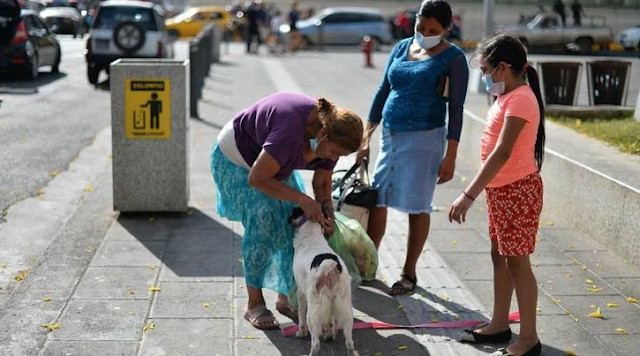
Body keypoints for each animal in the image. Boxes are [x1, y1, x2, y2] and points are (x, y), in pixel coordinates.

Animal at [292, 209, 358, 356]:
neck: (311, 234)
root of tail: (329, 265)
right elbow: (330, 321)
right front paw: (329, 335)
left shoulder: (301, 292)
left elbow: (300, 315)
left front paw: (300, 333)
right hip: (344, 305)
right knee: (350, 342)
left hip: (313, 310)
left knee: (316, 343)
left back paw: (312, 352)